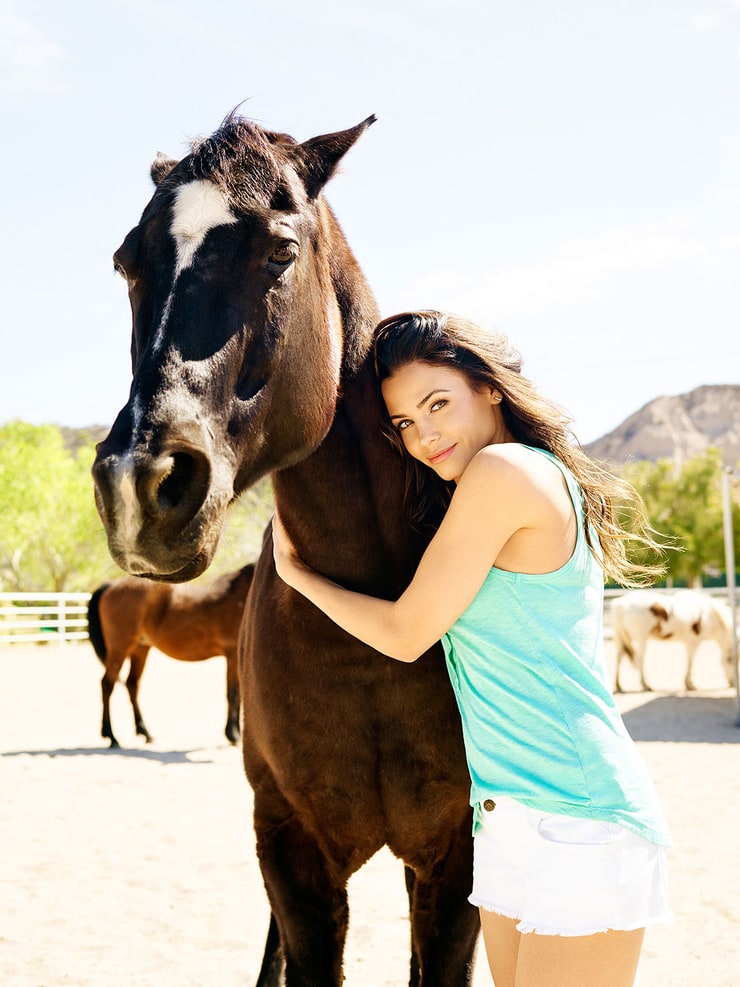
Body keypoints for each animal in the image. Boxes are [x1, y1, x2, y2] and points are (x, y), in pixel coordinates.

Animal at [87, 564, 251, 748]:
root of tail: (110, 585)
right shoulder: (232, 656)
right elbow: (233, 694)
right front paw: (233, 734)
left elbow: (240, 695)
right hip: (119, 649)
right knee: (107, 684)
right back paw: (112, 736)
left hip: (140, 649)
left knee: (132, 685)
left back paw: (145, 732)